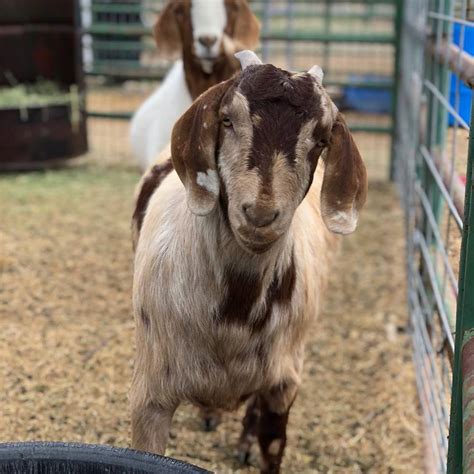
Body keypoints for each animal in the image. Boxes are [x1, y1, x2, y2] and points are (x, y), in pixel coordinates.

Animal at [130, 50, 366, 472]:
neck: (235, 313)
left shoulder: (283, 382)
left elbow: (272, 445)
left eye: (322, 139)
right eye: (227, 119)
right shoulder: (150, 394)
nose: (260, 213)